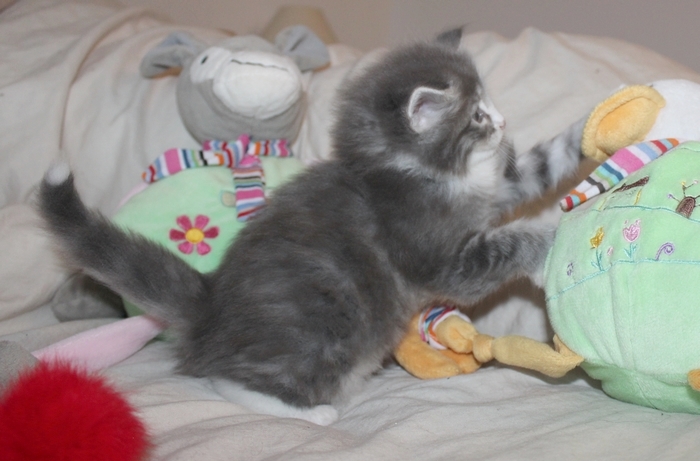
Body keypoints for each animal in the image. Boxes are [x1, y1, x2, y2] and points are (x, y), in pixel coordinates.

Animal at [38, 30, 585, 426]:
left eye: (488, 105)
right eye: (476, 116)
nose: (504, 120)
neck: (412, 169)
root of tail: (209, 307)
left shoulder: (498, 189)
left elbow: (538, 166)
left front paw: (593, 123)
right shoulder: (435, 252)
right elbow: (499, 248)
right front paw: (549, 248)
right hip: (324, 324)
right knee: (229, 379)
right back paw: (308, 410)